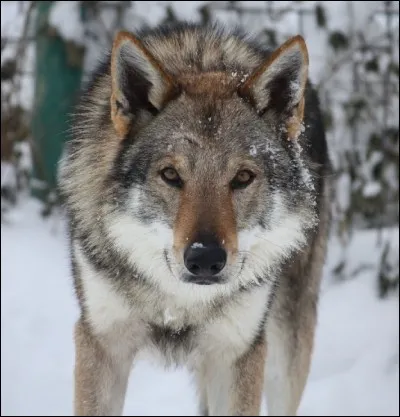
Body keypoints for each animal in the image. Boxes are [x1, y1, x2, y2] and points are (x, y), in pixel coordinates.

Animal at [57, 21, 332, 414]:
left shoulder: (238, 353)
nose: (205, 259)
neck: (179, 303)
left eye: (242, 178)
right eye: (171, 175)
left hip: (285, 351)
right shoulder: (101, 343)